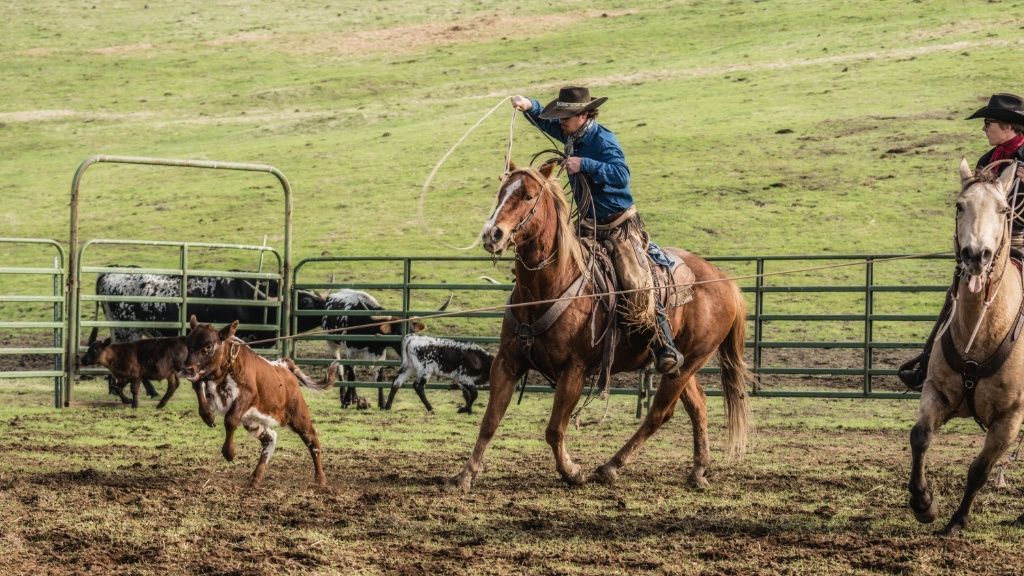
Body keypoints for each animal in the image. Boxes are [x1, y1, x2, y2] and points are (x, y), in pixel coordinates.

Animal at [178, 313, 333, 483]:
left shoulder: (247, 395)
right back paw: (256, 476)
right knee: (270, 439)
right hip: (253, 420)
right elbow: (198, 386)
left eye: (208, 347)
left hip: (298, 415)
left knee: (312, 438)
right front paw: (208, 417)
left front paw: (229, 453)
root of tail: (283, 365)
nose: (186, 369)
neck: (224, 371)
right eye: (188, 345)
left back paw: (320, 478)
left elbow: (230, 419)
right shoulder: (204, 380)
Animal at [448, 161, 753, 487]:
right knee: (698, 406)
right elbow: (489, 421)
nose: (492, 234)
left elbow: (554, 429)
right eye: (501, 192)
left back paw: (611, 466)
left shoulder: (575, 369)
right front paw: (465, 474)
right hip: (683, 365)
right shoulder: (507, 362)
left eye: (528, 195)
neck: (552, 284)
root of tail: (725, 280)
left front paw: (571, 471)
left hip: (690, 362)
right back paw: (697, 470)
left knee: (658, 413)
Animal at [909, 157, 1024, 532]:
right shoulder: (937, 391)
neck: (983, 329)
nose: (976, 254)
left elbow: (980, 469)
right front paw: (923, 503)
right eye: (960, 206)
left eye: (1003, 209)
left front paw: (957, 520)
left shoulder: (1009, 418)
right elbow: (920, 437)